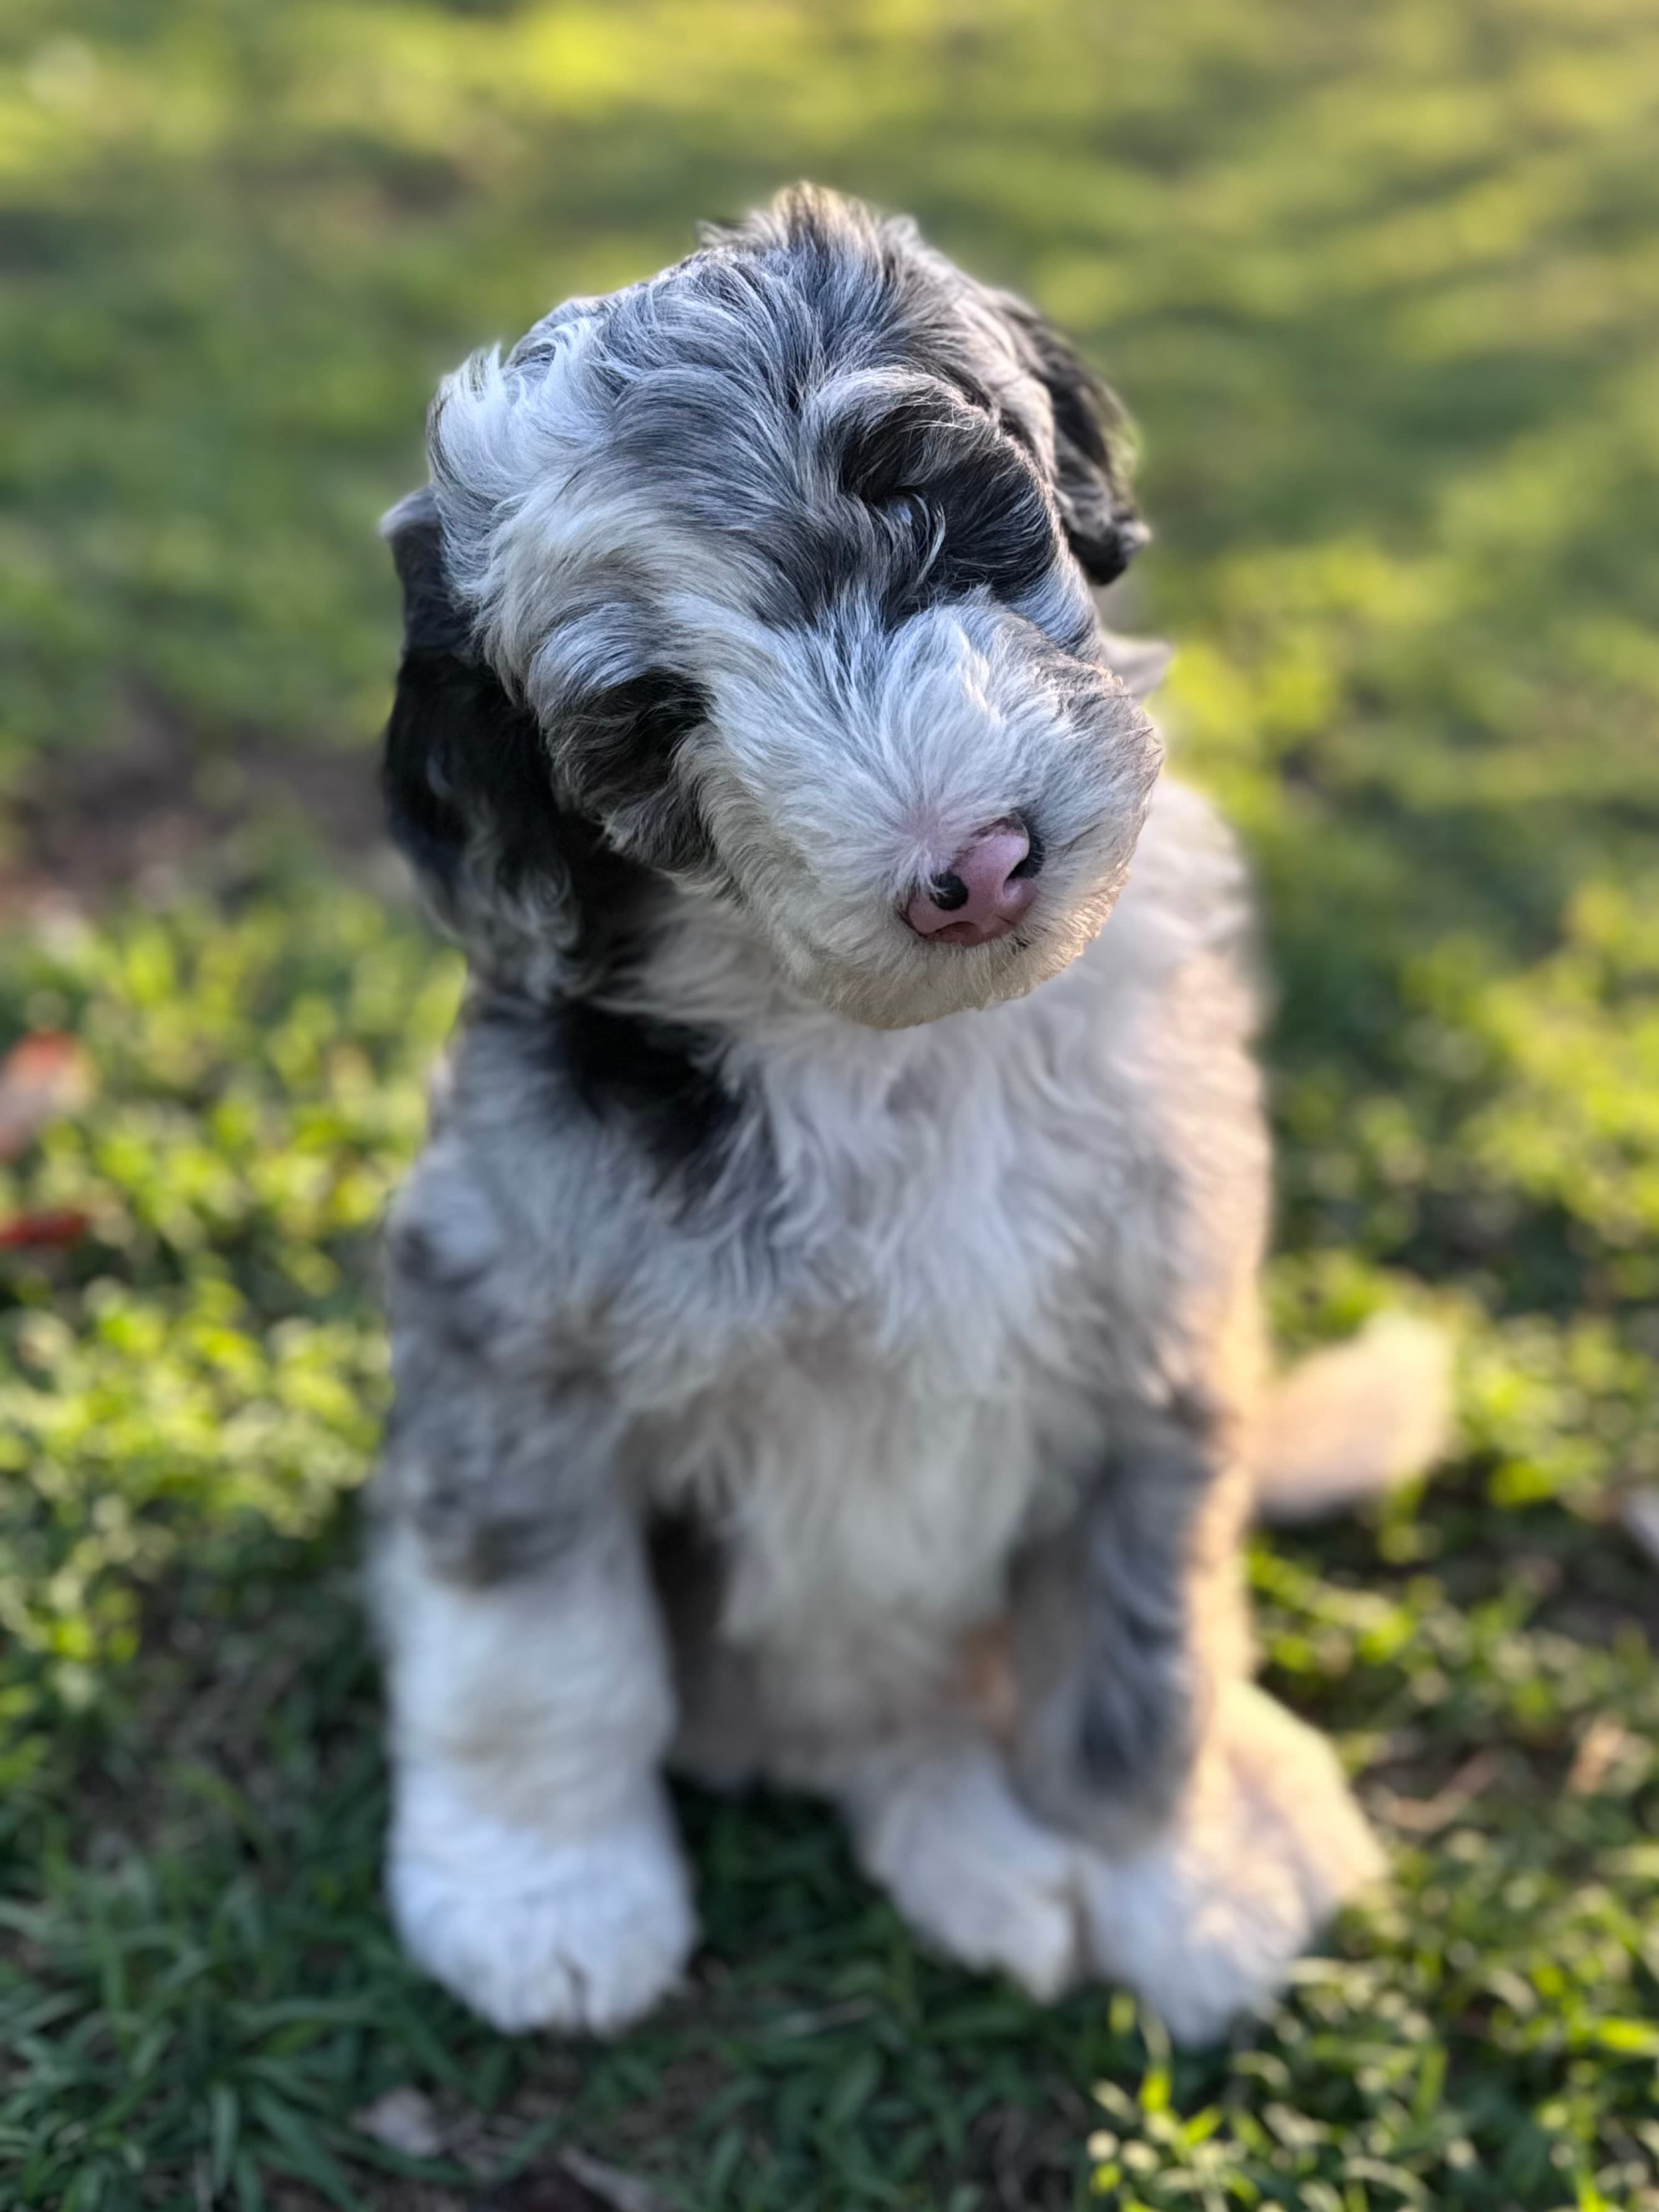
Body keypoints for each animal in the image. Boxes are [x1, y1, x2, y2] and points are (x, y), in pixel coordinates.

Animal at [369, 186, 1451, 2034]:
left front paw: (1174, 1876)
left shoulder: (1154, 1349)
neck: (908, 1052)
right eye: (650, 716)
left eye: (930, 505)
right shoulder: (512, 1340)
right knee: (874, 1728)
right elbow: (541, 1655)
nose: (976, 867)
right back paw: (978, 1858)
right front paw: (545, 1899)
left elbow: (1141, 1662)